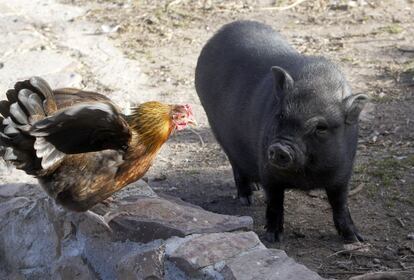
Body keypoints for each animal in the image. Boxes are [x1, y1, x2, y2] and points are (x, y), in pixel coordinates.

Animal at [196, 21, 368, 243]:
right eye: (280, 115)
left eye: (321, 127)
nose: (280, 148)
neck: (306, 176)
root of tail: (216, 36)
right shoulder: (268, 169)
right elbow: (275, 201)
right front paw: (272, 237)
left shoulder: (343, 172)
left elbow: (340, 203)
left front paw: (356, 239)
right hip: (219, 131)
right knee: (236, 165)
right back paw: (247, 199)